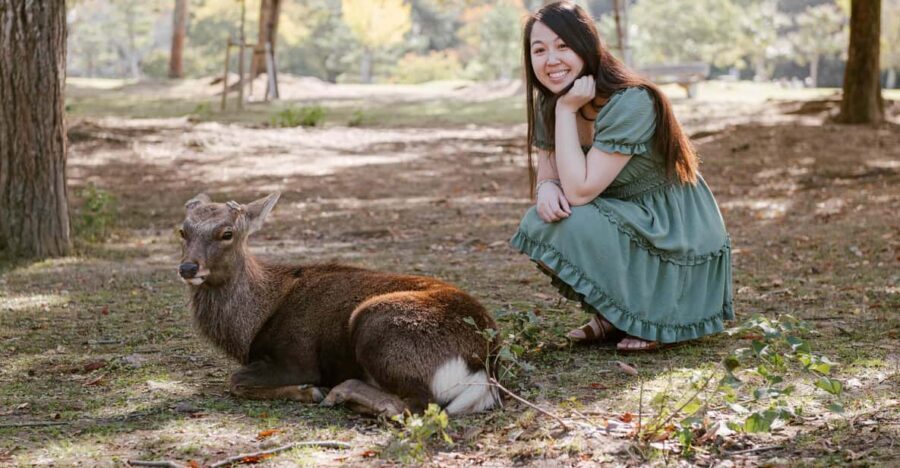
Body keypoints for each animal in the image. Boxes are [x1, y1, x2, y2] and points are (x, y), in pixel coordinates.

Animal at [177, 192, 500, 416]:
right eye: (183, 231)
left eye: (227, 233)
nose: (188, 268)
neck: (250, 329)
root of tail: (483, 364)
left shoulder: (298, 357)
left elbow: (236, 380)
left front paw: (311, 392)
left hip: (377, 325)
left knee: (417, 405)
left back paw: (340, 394)